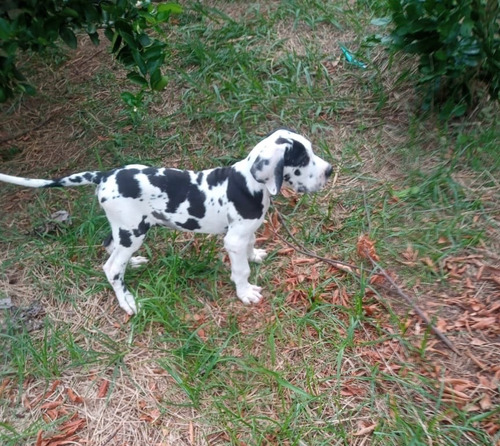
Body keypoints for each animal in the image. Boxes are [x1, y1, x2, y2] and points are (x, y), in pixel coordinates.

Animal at [1, 129, 334, 316]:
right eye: (302, 159)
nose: (330, 170)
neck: (247, 182)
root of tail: (105, 175)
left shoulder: (244, 232)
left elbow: (251, 246)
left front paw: (256, 256)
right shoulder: (233, 240)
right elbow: (240, 270)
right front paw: (245, 293)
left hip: (124, 229)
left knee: (110, 246)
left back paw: (133, 264)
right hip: (134, 230)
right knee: (111, 268)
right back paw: (127, 301)